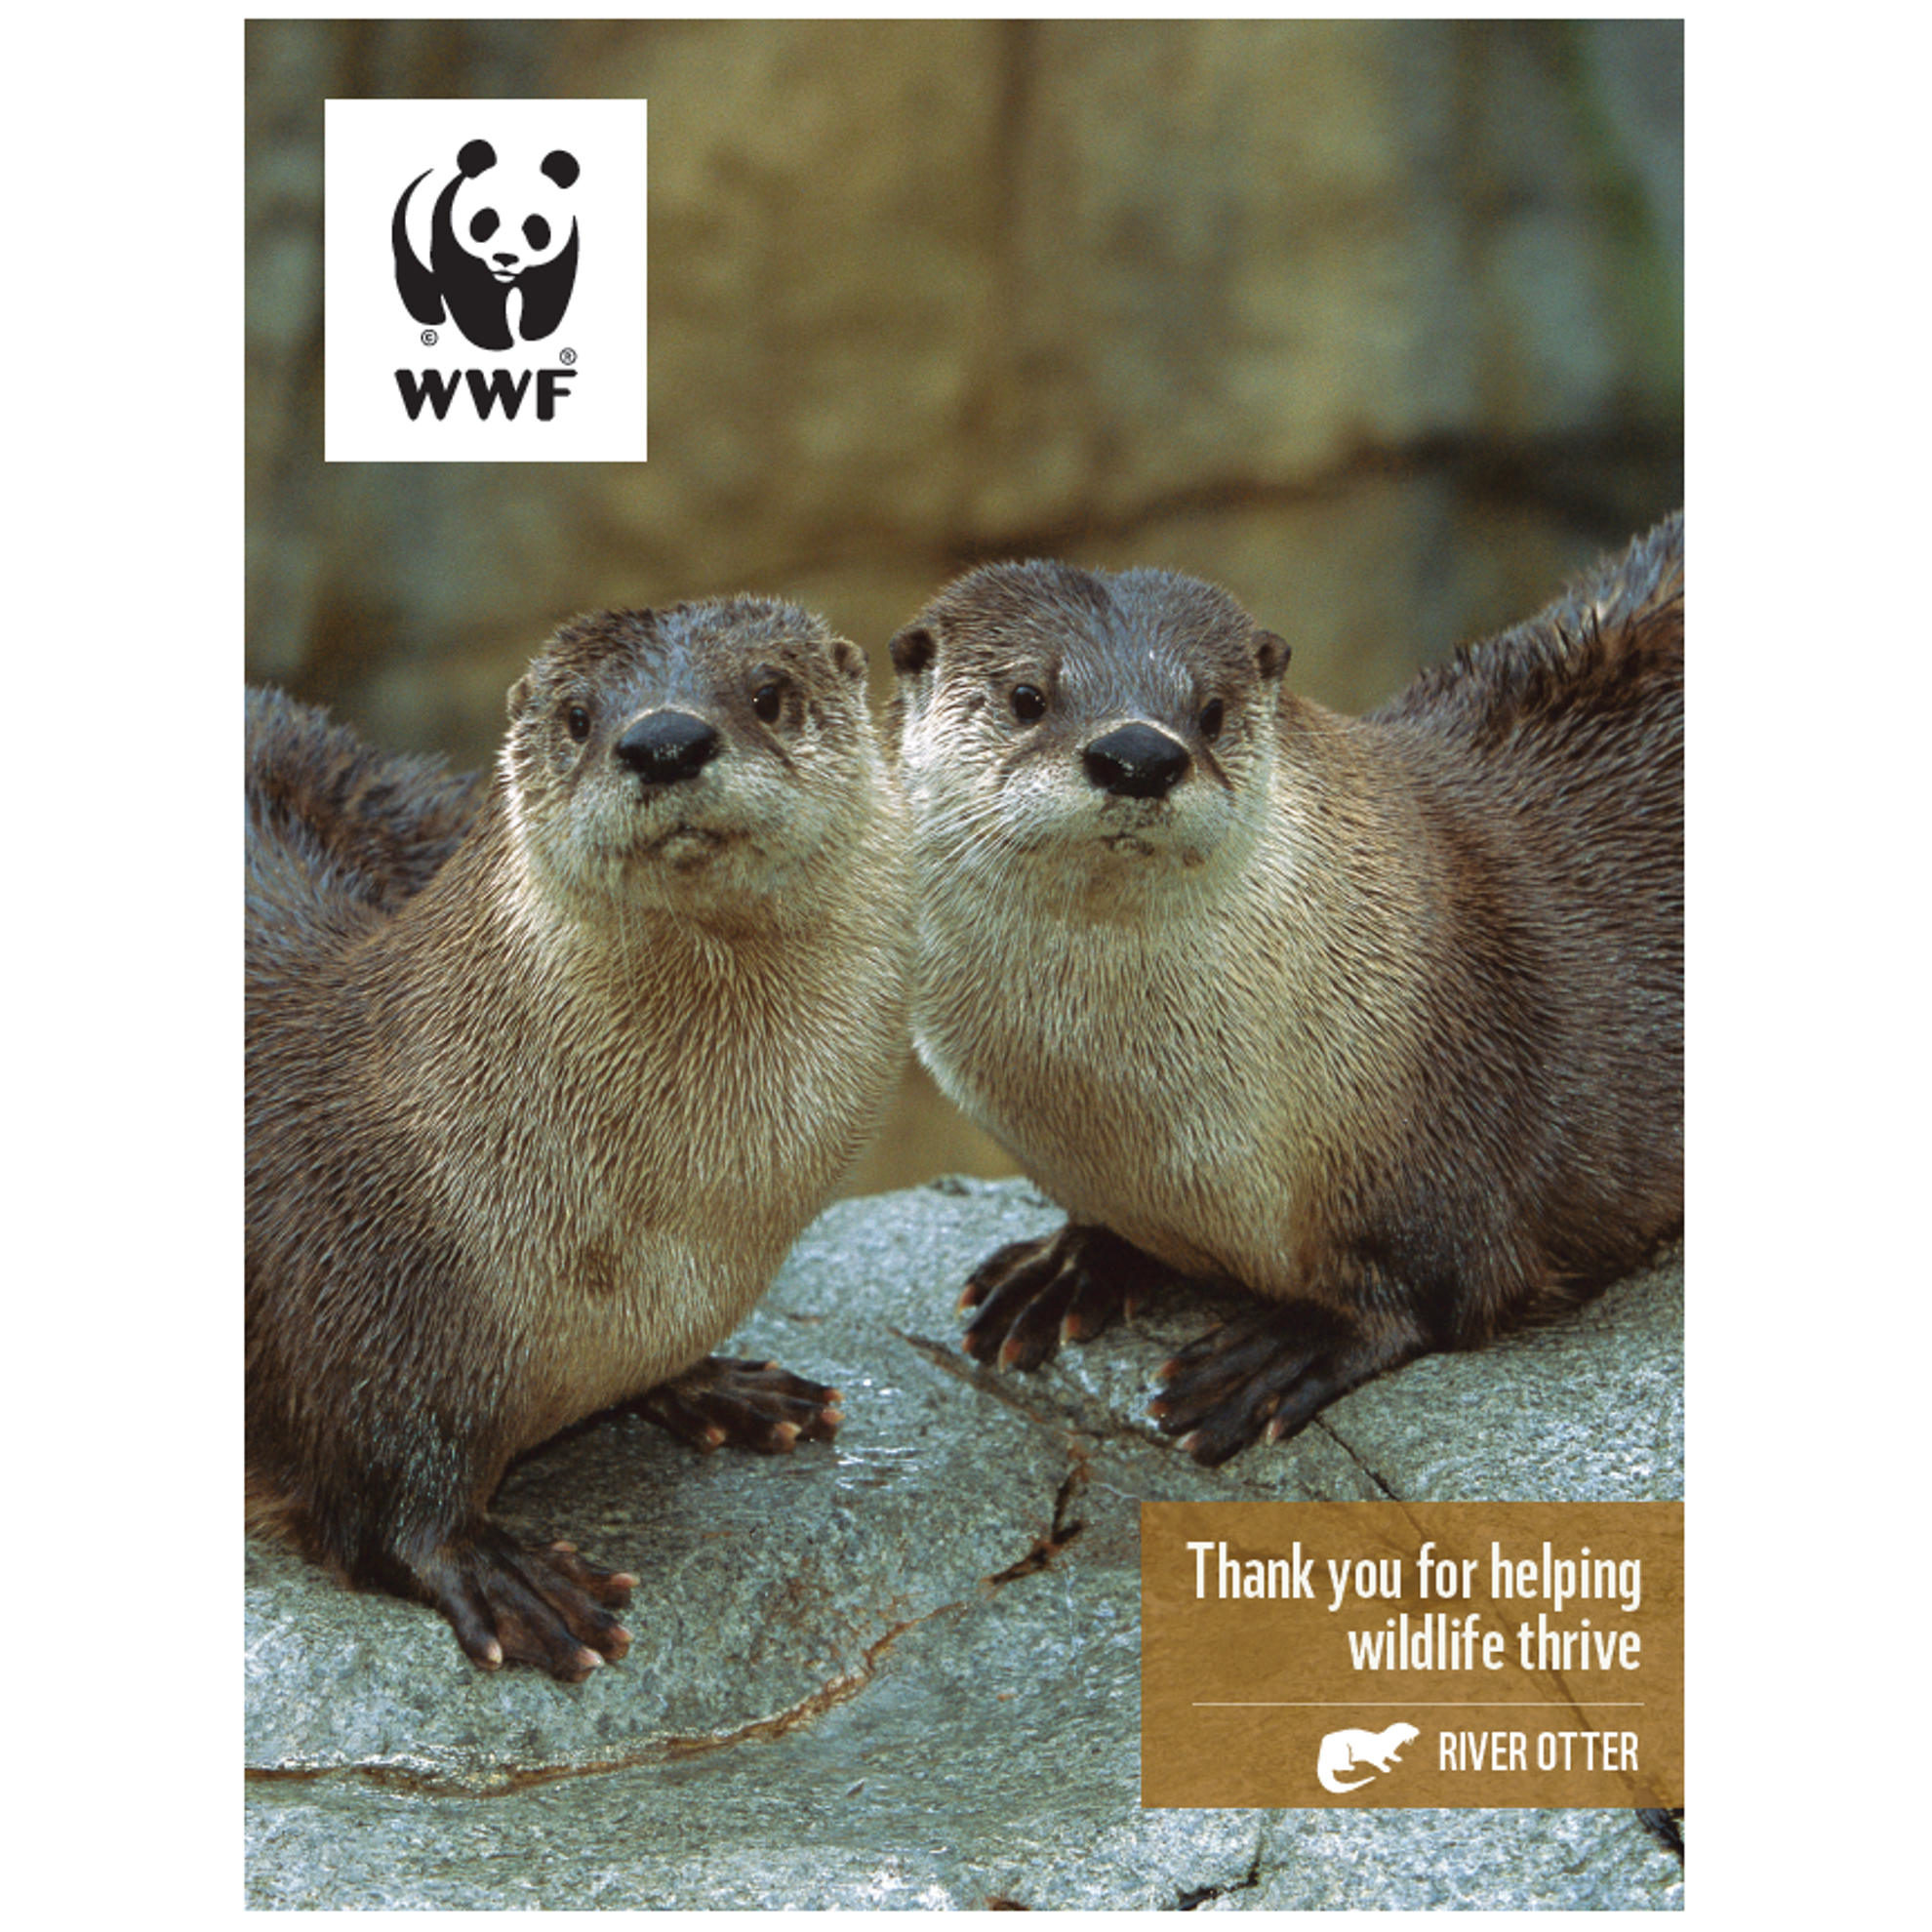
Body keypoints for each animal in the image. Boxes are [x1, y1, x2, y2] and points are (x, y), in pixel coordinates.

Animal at [246, 599, 908, 1677]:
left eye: (770, 693)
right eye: (578, 716)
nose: (665, 739)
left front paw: (717, 1386)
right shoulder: (354, 1296)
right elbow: (377, 1500)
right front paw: (498, 1575)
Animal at [887, 515, 1683, 1464]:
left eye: (1210, 711)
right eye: (1026, 696)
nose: (1138, 754)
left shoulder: (1459, 1125)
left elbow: (1445, 1286)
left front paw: (1286, 1352)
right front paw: (1070, 1264)